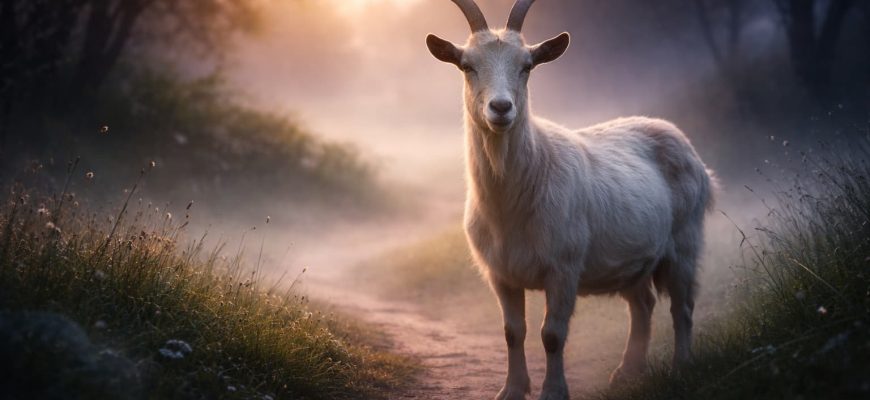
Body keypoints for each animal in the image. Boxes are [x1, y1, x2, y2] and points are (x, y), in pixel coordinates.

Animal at [425, 1, 715, 399]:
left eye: (527, 66)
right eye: (467, 66)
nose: (501, 108)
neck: (510, 206)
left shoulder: (563, 267)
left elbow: (552, 334)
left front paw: (553, 391)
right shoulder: (500, 273)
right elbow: (513, 332)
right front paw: (512, 389)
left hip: (685, 239)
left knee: (682, 306)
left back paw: (681, 367)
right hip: (634, 258)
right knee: (643, 304)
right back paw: (627, 372)